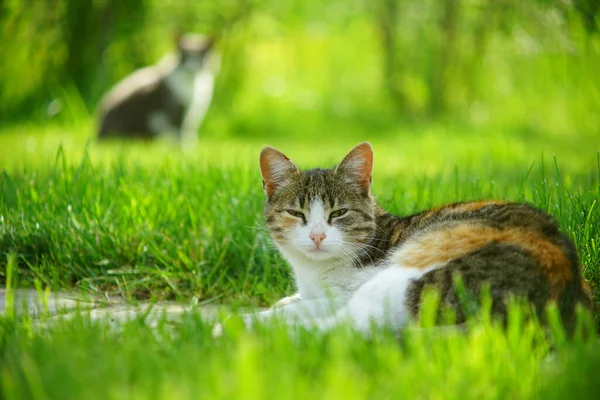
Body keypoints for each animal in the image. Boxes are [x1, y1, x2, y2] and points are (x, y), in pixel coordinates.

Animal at [232, 141, 592, 334]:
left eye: (339, 213)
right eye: (297, 214)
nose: (318, 236)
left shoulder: (346, 292)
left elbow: (296, 312)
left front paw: (255, 319)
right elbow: (291, 302)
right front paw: (282, 302)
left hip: (407, 277)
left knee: (342, 330)